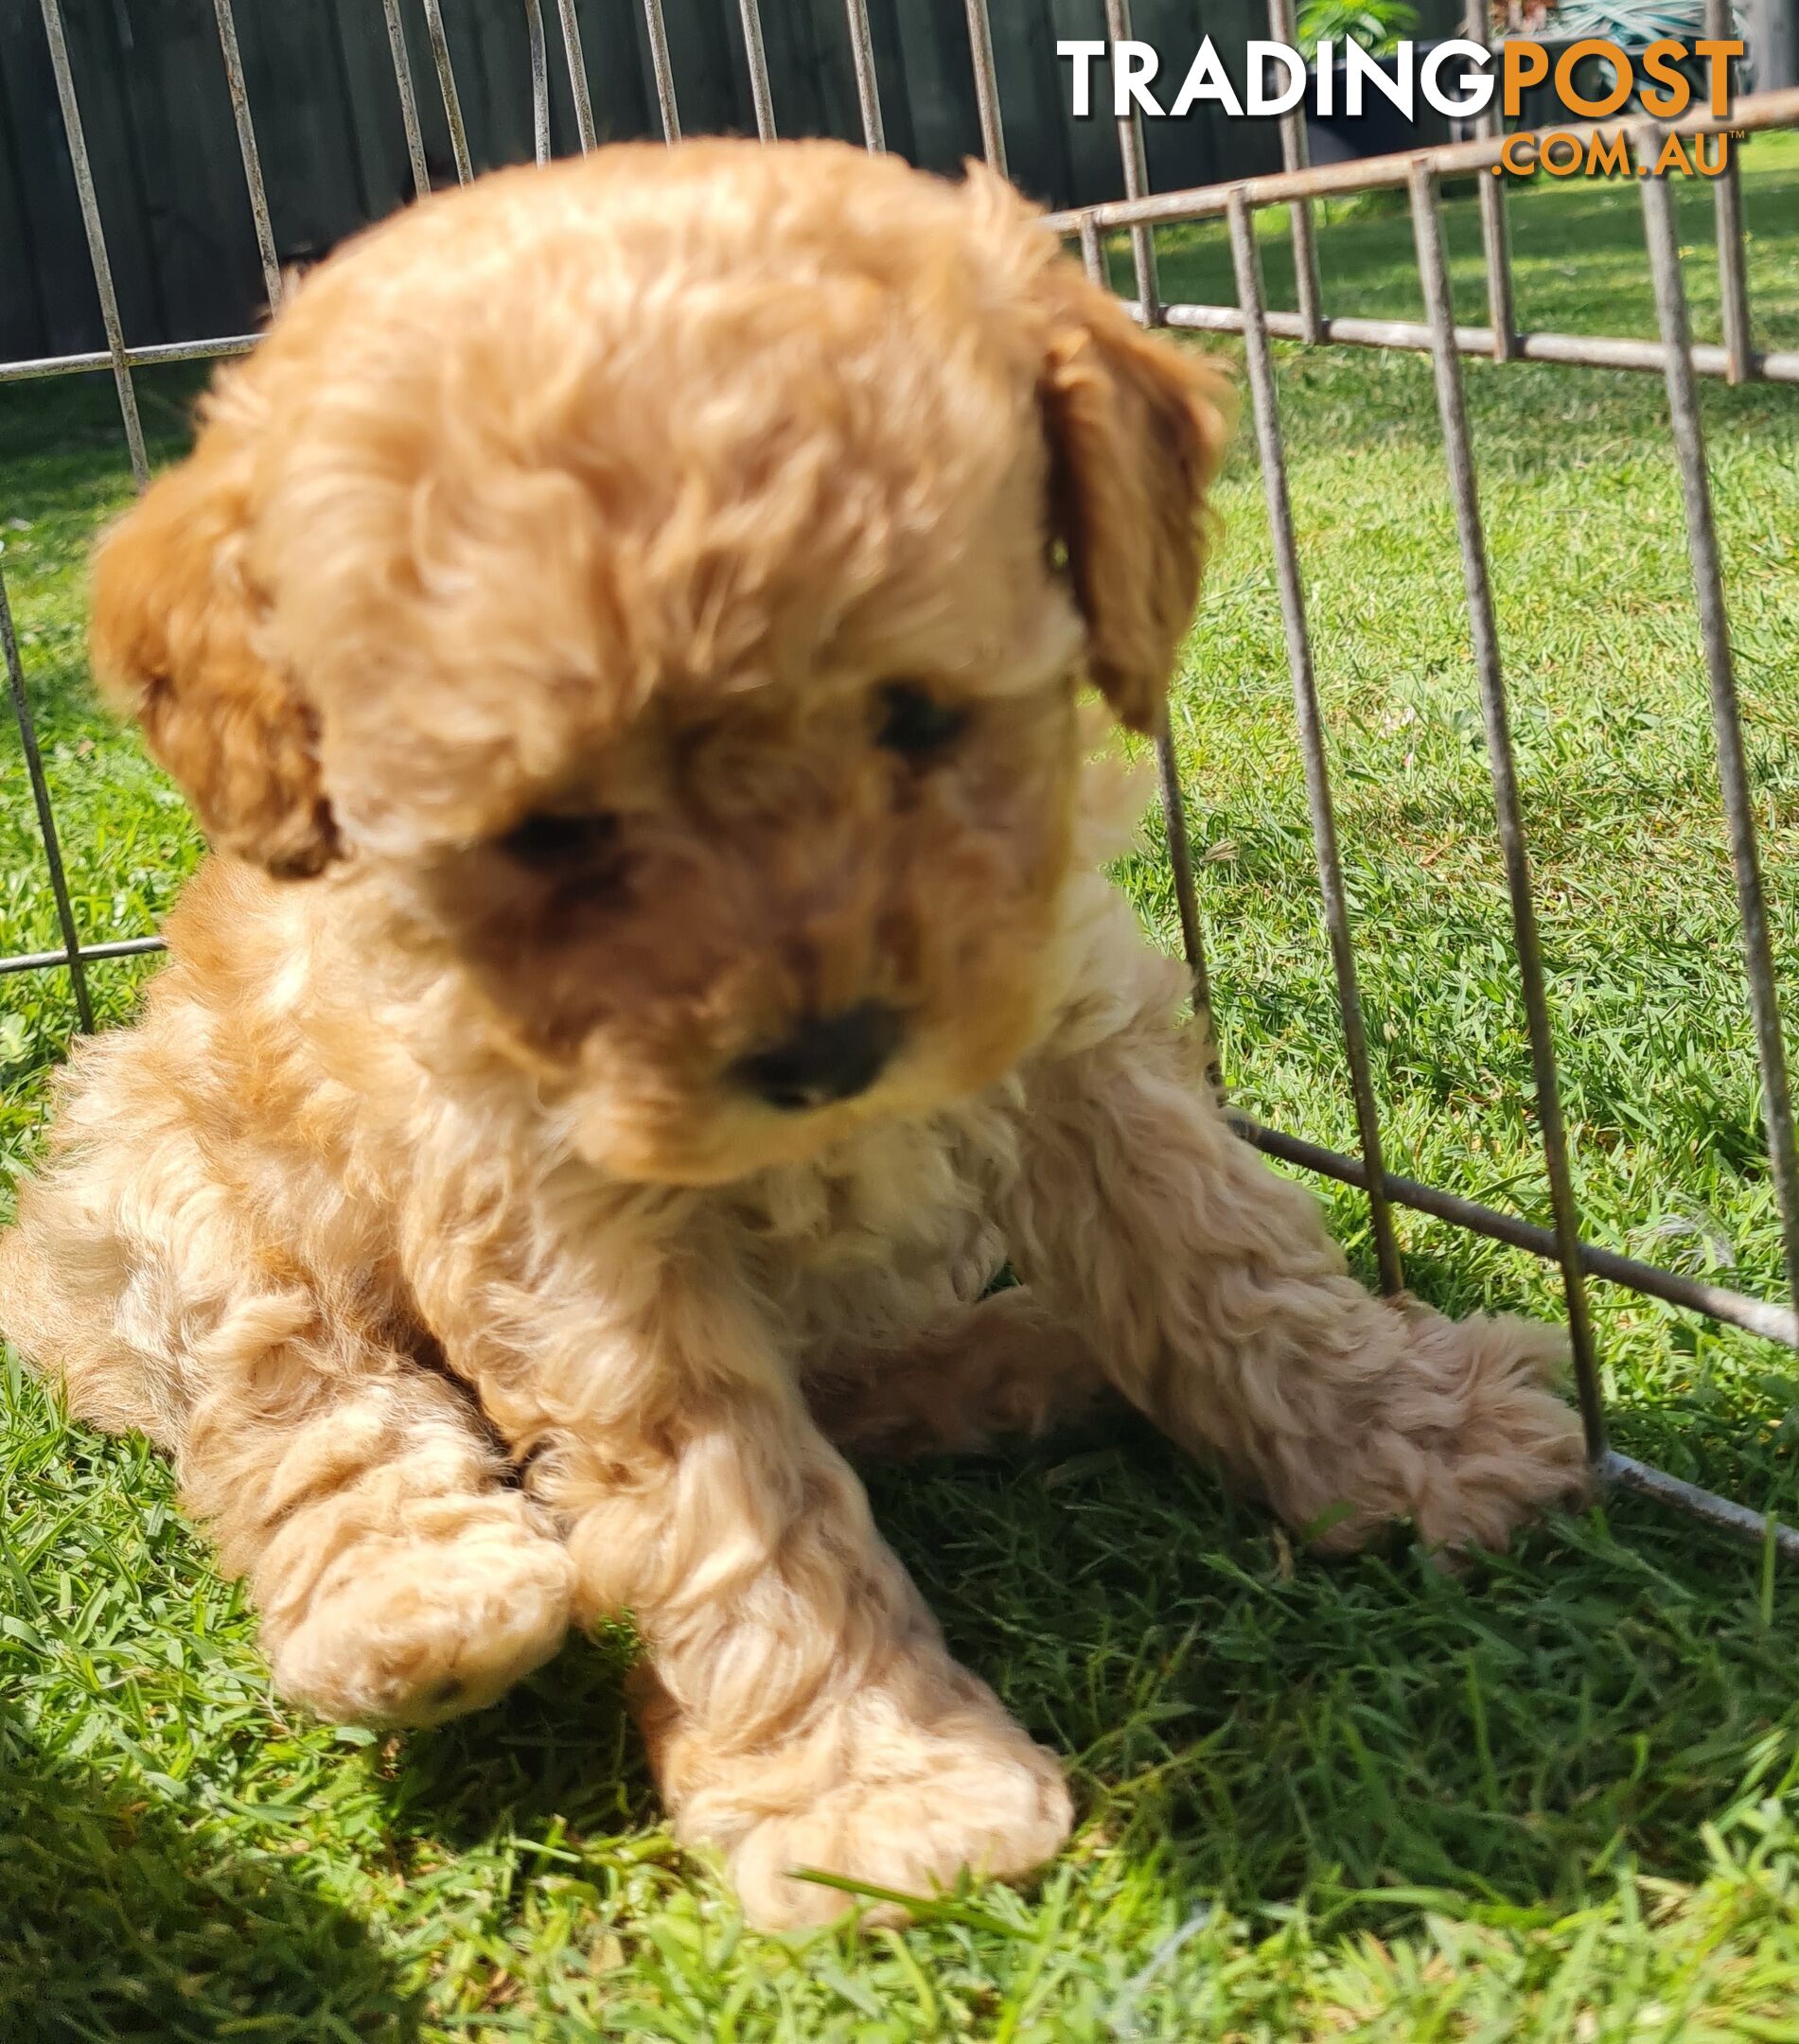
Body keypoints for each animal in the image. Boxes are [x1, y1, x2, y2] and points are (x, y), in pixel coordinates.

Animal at [0, 135, 1570, 1921]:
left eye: (920, 714)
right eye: (547, 833)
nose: (825, 1055)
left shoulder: (1070, 1029)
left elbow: (1227, 1255)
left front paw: (1415, 1435)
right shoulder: (559, 1216)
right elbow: (721, 1492)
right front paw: (872, 1789)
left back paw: (1027, 1359)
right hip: (175, 1188)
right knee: (290, 1400)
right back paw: (420, 1608)